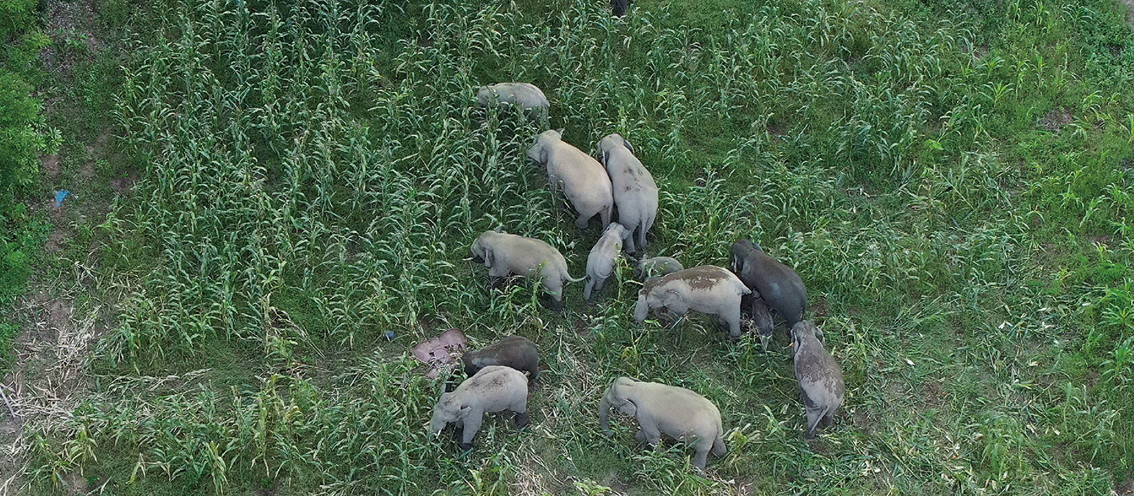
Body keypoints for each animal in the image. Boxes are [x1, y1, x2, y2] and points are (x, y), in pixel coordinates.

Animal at [598, 377, 727, 470]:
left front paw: (659, 455)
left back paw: (695, 466)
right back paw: (717, 455)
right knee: (719, 443)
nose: (612, 435)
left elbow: (653, 435)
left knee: (702, 450)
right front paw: (638, 441)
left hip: (703, 437)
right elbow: (645, 432)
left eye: (610, 399)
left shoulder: (645, 414)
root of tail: (717, 420)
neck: (636, 387)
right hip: (715, 433)